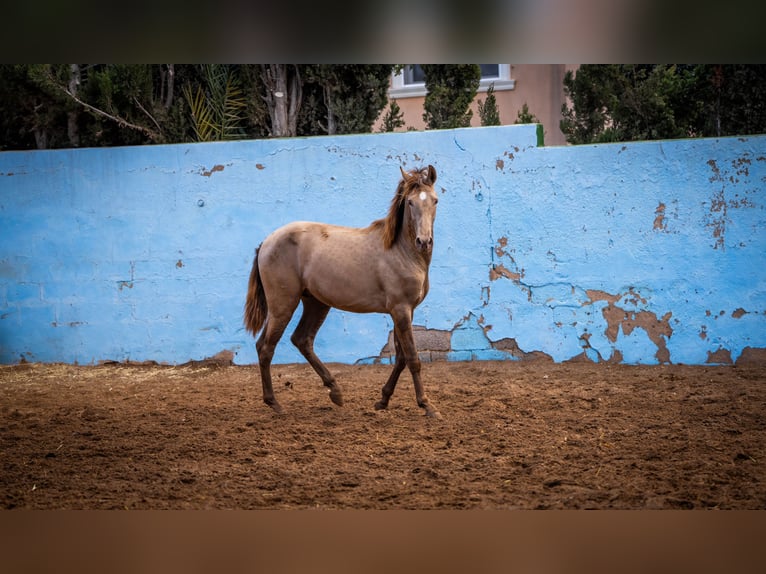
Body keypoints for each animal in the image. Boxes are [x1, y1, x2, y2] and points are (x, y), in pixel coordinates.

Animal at [246, 164, 444, 420]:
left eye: (435, 200)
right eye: (410, 202)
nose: (424, 241)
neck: (401, 251)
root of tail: (266, 242)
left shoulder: (404, 312)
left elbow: (400, 358)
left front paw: (382, 400)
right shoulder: (401, 309)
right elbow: (412, 358)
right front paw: (428, 406)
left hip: (315, 303)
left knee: (301, 339)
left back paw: (335, 392)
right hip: (283, 305)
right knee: (266, 348)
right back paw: (275, 404)